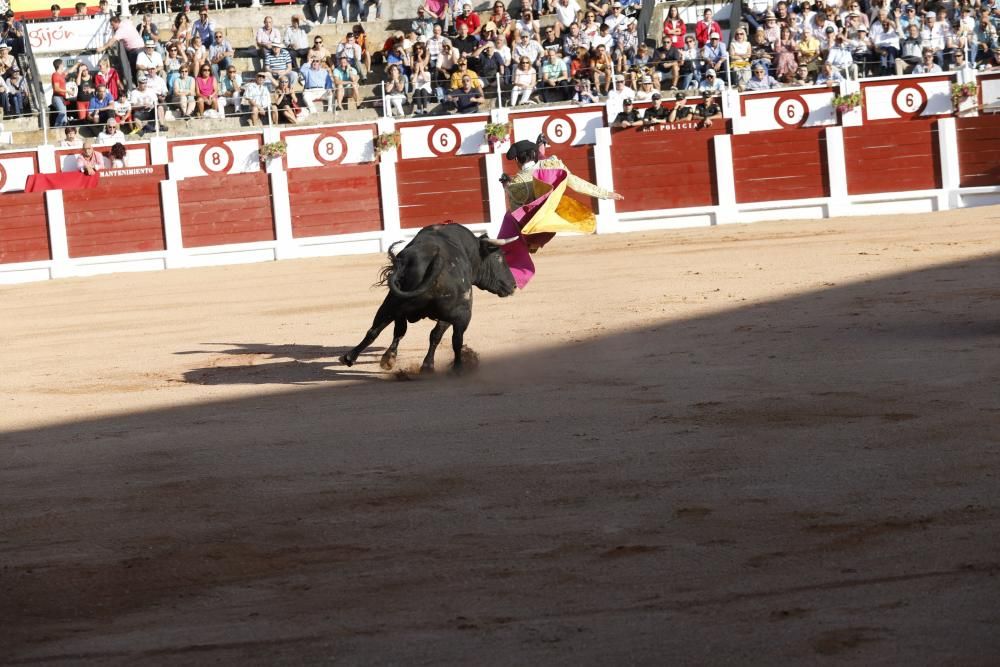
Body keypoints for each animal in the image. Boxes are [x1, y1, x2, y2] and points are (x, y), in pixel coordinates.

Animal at [342, 223, 520, 370]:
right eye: (499, 257)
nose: (513, 285)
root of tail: (436, 259)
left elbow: (400, 331)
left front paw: (389, 358)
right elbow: (436, 335)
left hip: (393, 301)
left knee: (375, 328)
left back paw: (349, 357)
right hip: (461, 313)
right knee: (456, 339)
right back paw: (457, 368)